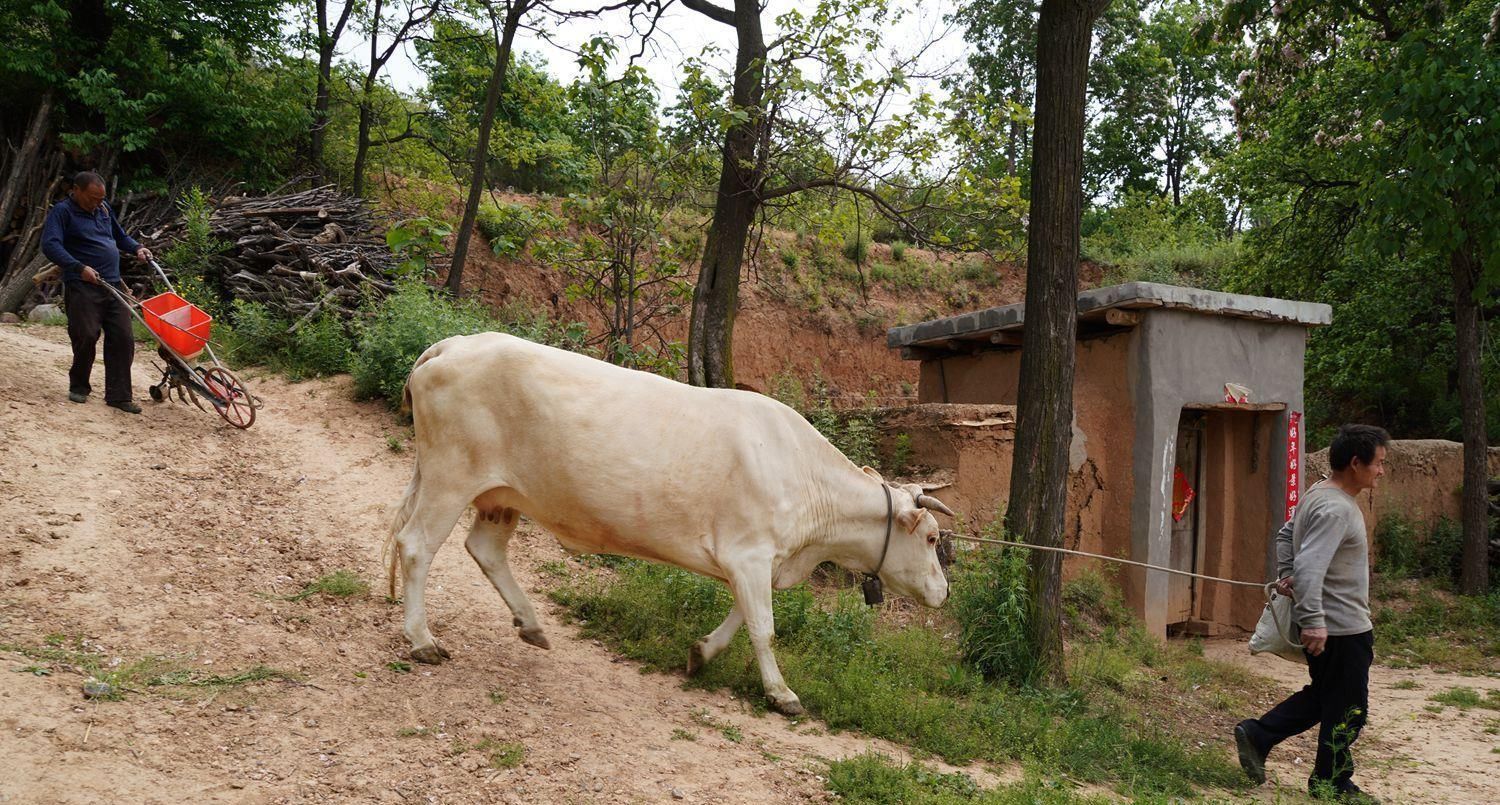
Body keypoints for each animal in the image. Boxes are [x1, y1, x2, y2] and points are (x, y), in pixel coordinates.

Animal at [384, 332, 948, 716]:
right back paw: (422, 641)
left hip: (501, 495)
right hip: (451, 476)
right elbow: (764, 627)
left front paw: (701, 653)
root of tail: (454, 343)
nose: (943, 592)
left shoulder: (755, 562)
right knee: (416, 545)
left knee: (484, 549)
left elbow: (743, 616)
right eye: (932, 538)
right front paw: (782, 693)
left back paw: (531, 624)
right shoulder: (749, 552)